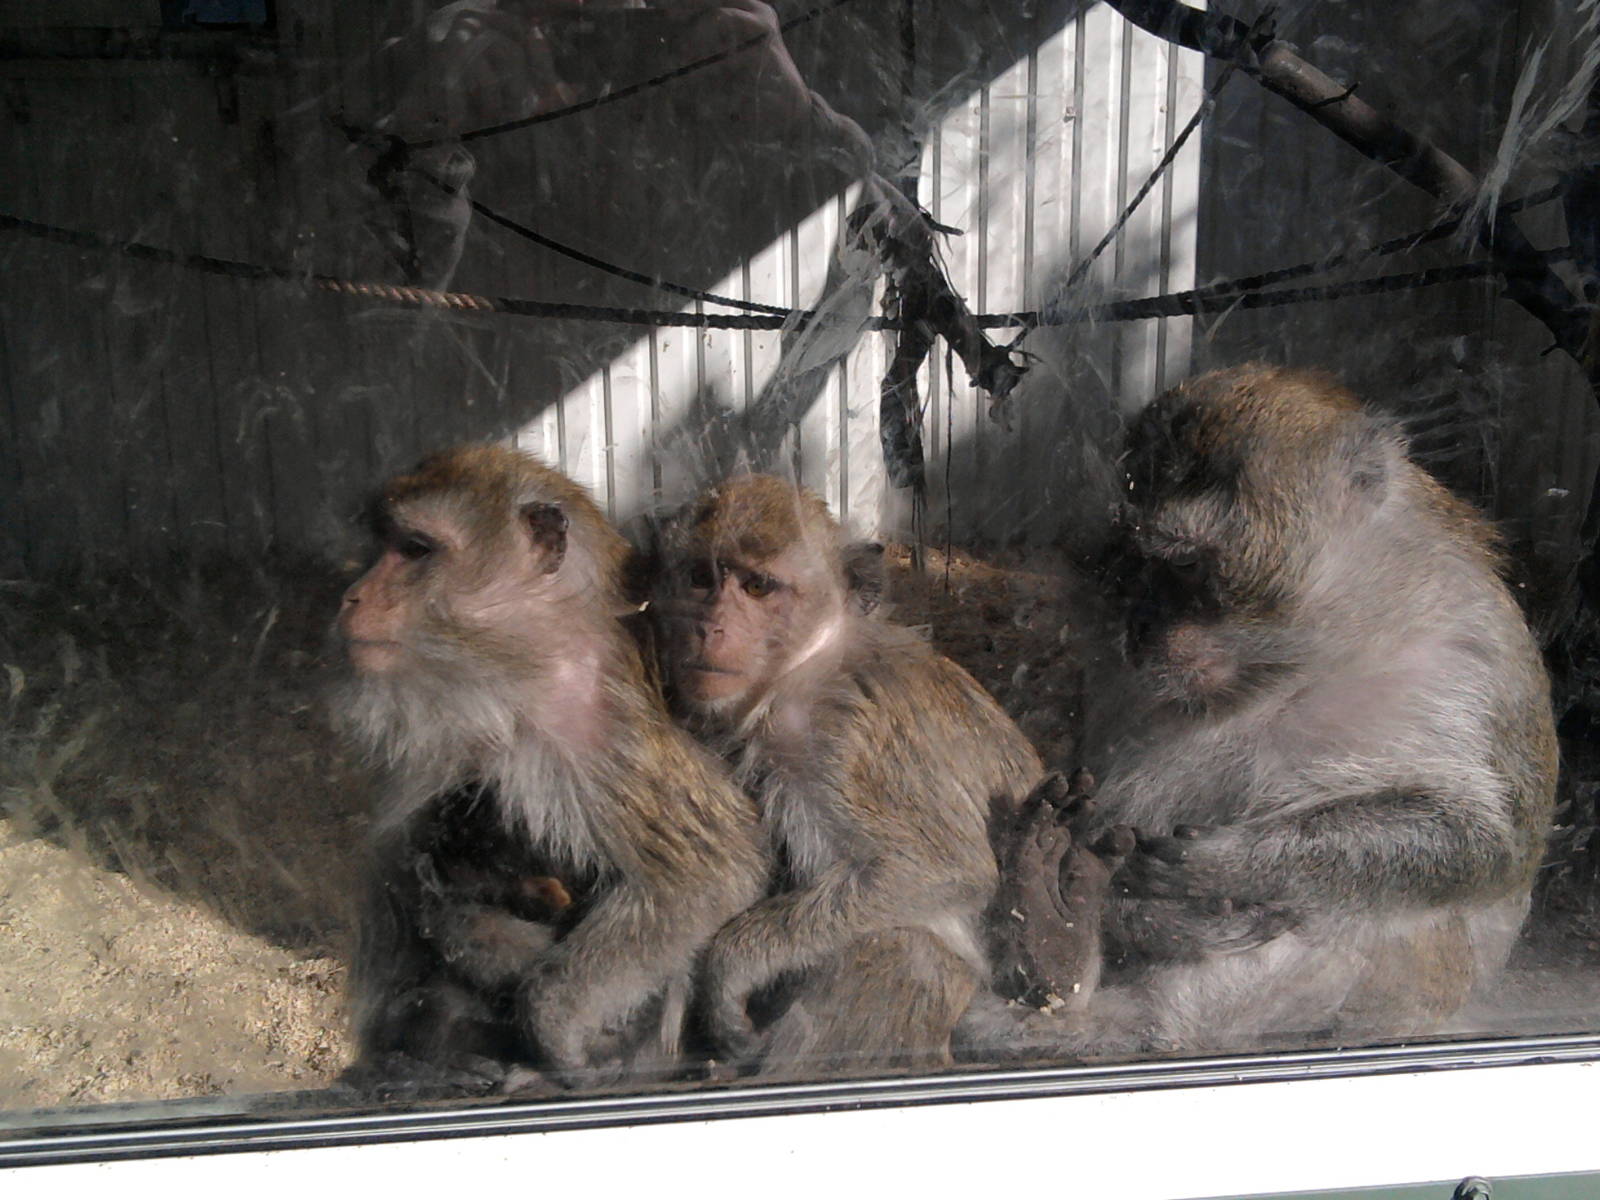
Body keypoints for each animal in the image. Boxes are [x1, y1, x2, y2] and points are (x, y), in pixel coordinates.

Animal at [333, 444, 767, 1092]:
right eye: (384, 542)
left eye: (414, 549)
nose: (352, 596)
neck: (515, 675)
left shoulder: (599, 733)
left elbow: (709, 874)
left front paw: (555, 1029)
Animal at [651, 474, 1047, 1076]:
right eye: (701, 576)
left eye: (758, 587)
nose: (707, 627)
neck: (806, 670)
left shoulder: (848, 740)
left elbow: (943, 869)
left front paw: (730, 966)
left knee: (901, 951)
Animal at [966, 364, 1558, 1059]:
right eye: (1135, 562)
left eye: (1184, 564)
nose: (1142, 628)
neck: (1301, 660)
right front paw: (1145, 910)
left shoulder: (1470, 660)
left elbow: (1482, 842)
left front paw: (1231, 861)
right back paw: (1059, 951)